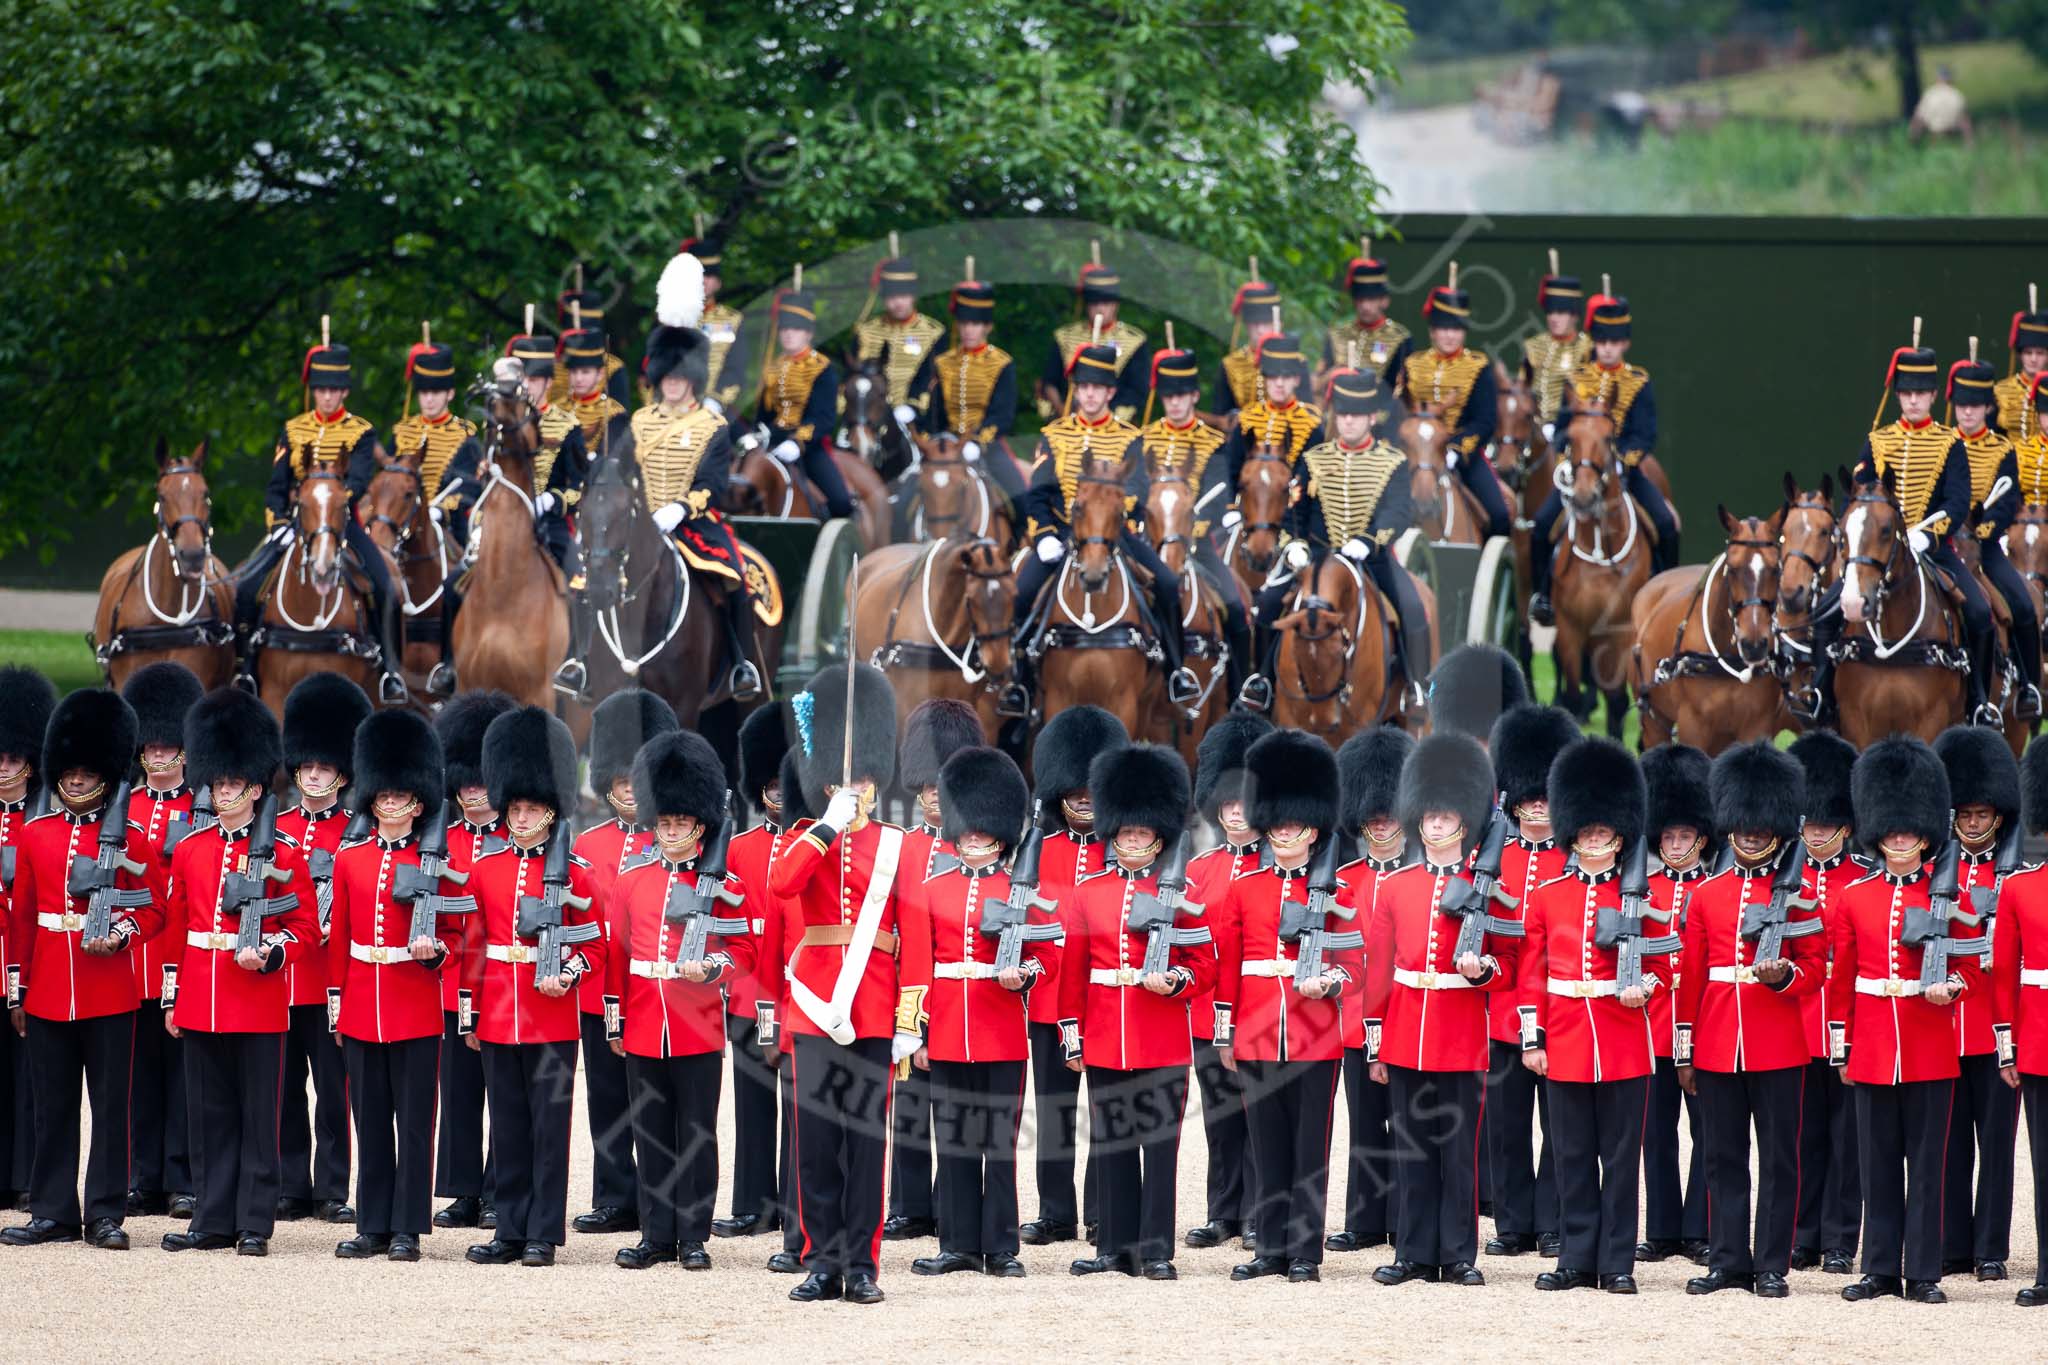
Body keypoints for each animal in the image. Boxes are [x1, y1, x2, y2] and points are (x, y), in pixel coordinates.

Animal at [1540, 411, 1654, 736]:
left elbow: (1616, 699)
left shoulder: (1621, 632)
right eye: (1571, 438)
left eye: (1608, 438)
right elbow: (1573, 694)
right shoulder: (1569, 628)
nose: (1582, 497)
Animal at [1630, 507, 1794, 753]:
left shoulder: (1756, 726)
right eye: (1732, 569)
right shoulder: (1693, 727)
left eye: (1776, 569)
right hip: (1654, 721)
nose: (1753, 645)